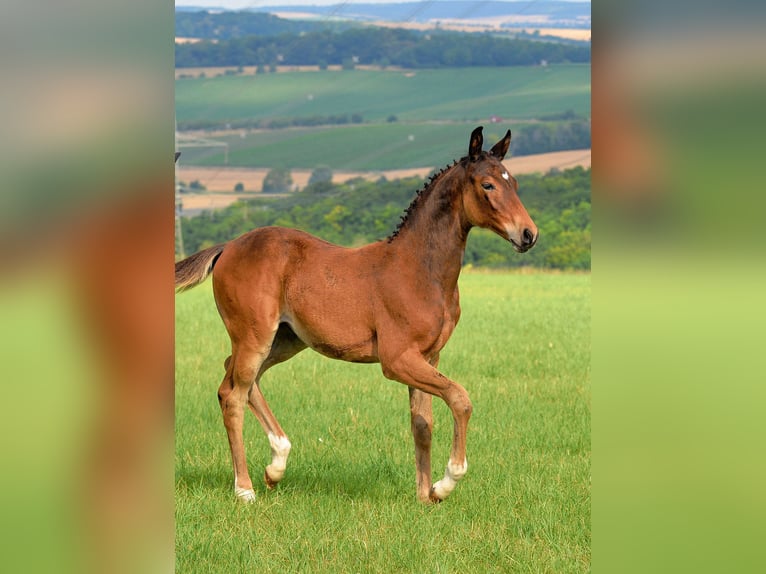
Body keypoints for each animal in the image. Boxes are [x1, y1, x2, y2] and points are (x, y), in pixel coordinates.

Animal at [175, 126, 538, 503]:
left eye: (514, 183)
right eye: (487, 185)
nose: (528, 234)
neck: (420, 270)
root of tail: (228, 246)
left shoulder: (429, 357)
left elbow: (422, 424)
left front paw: (424, 496)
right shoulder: (397, 359)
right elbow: (460, 399)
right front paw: (445, 483)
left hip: (285, 340)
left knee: (236, 380)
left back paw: (276, 466)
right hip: (255, 335)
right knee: (234, 394)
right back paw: (245, 489)